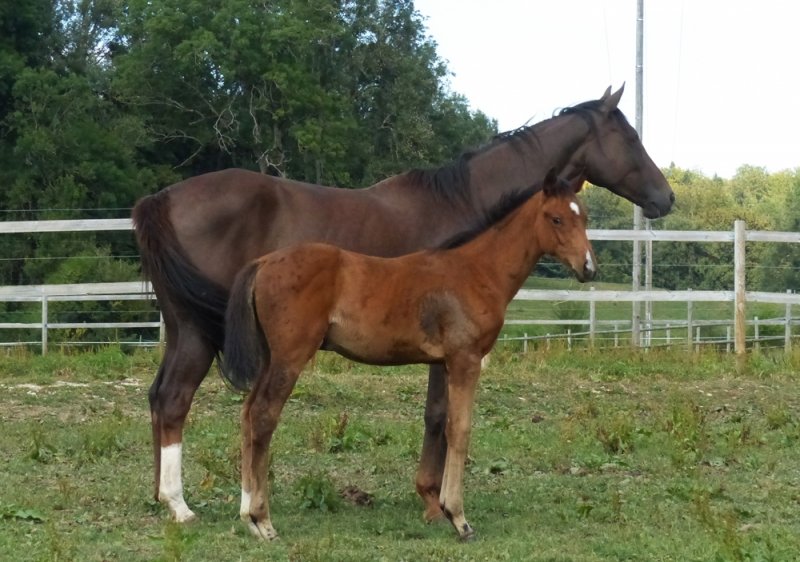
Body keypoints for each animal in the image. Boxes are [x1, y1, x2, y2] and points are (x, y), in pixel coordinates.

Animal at [223, 170, 595, 541]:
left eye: (585, 217)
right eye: (556, 218)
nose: (588, 268)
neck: (477, 271)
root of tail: (263, 262)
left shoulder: (444, 363)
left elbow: (444, 423)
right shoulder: (465, 359)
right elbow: (460, 430)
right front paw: (458, 517)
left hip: (270, 358)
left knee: (248, 412)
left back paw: (247, 516)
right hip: (290, 356)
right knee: (264, 416)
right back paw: (263, 520)